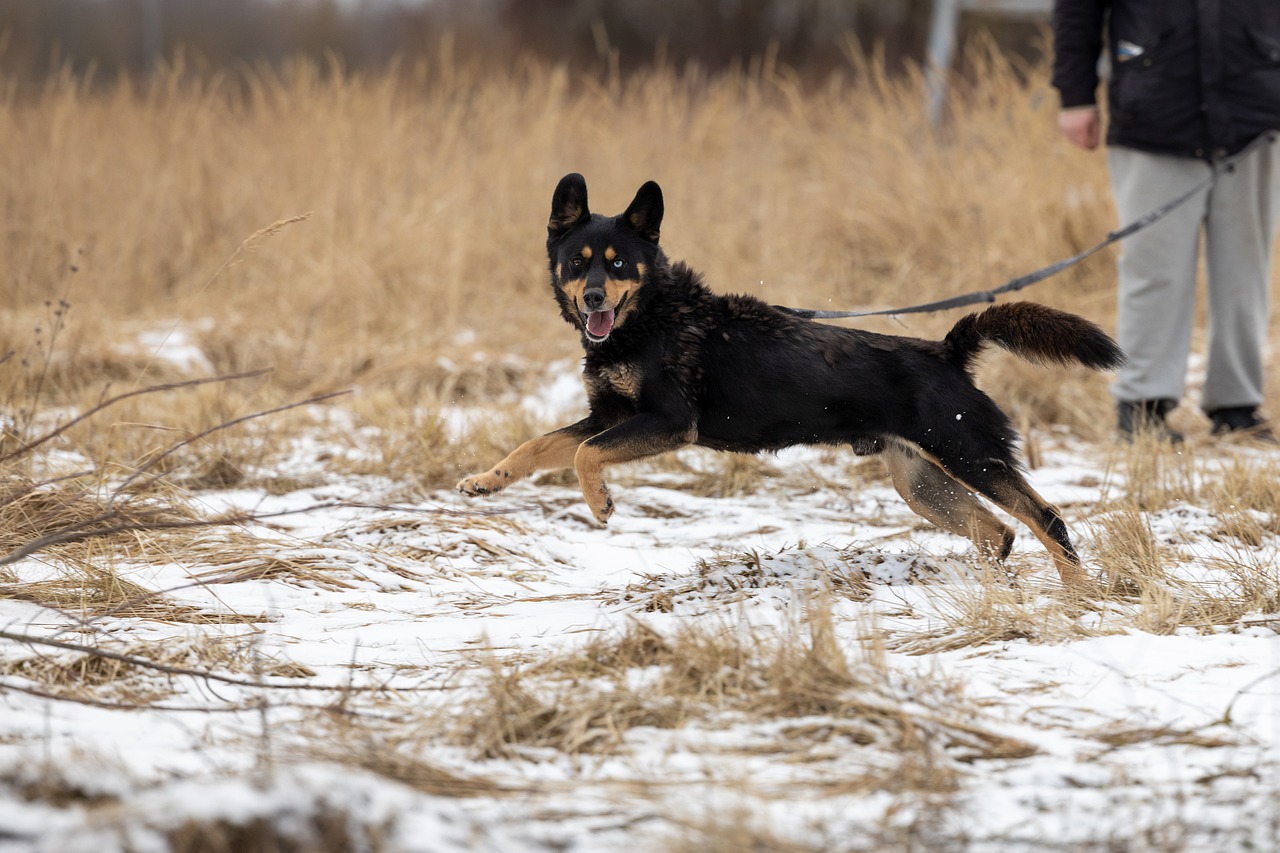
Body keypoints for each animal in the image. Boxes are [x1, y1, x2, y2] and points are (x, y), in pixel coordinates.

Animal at [458, 172, 1121, 584]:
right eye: (578, 262)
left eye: (619, 263)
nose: (594, 297)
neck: (649, 320)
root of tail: (947, 351)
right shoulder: (609, 416)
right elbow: (539, 446)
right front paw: (487, 480)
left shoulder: (668, 423)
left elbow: (583, 456)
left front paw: (599, 503)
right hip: (921, 482)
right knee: (996, 533)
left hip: (967, 454)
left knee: (1045, 520)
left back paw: (1076, 599)